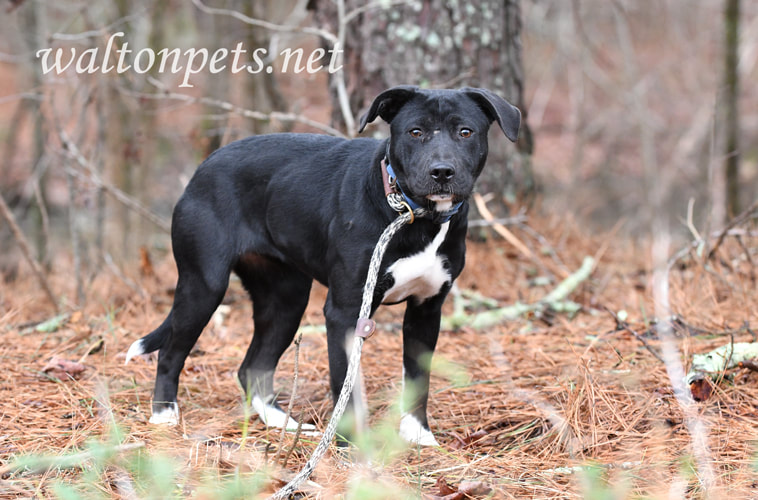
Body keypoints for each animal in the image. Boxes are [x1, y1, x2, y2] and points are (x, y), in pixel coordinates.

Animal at [127, 86, 524, 446]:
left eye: (465, 132)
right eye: (415, 132)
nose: (442, 171)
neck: (413, 214)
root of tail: (202, 168)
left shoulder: (426, 310)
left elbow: (418, 379)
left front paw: (417, 435)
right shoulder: (346, 312)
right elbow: (344, 385)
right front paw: (349, 447)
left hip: (286, 298)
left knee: (253, 367)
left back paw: (283, 423)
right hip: (203, 285)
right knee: (171, 353)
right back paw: (164, 416)